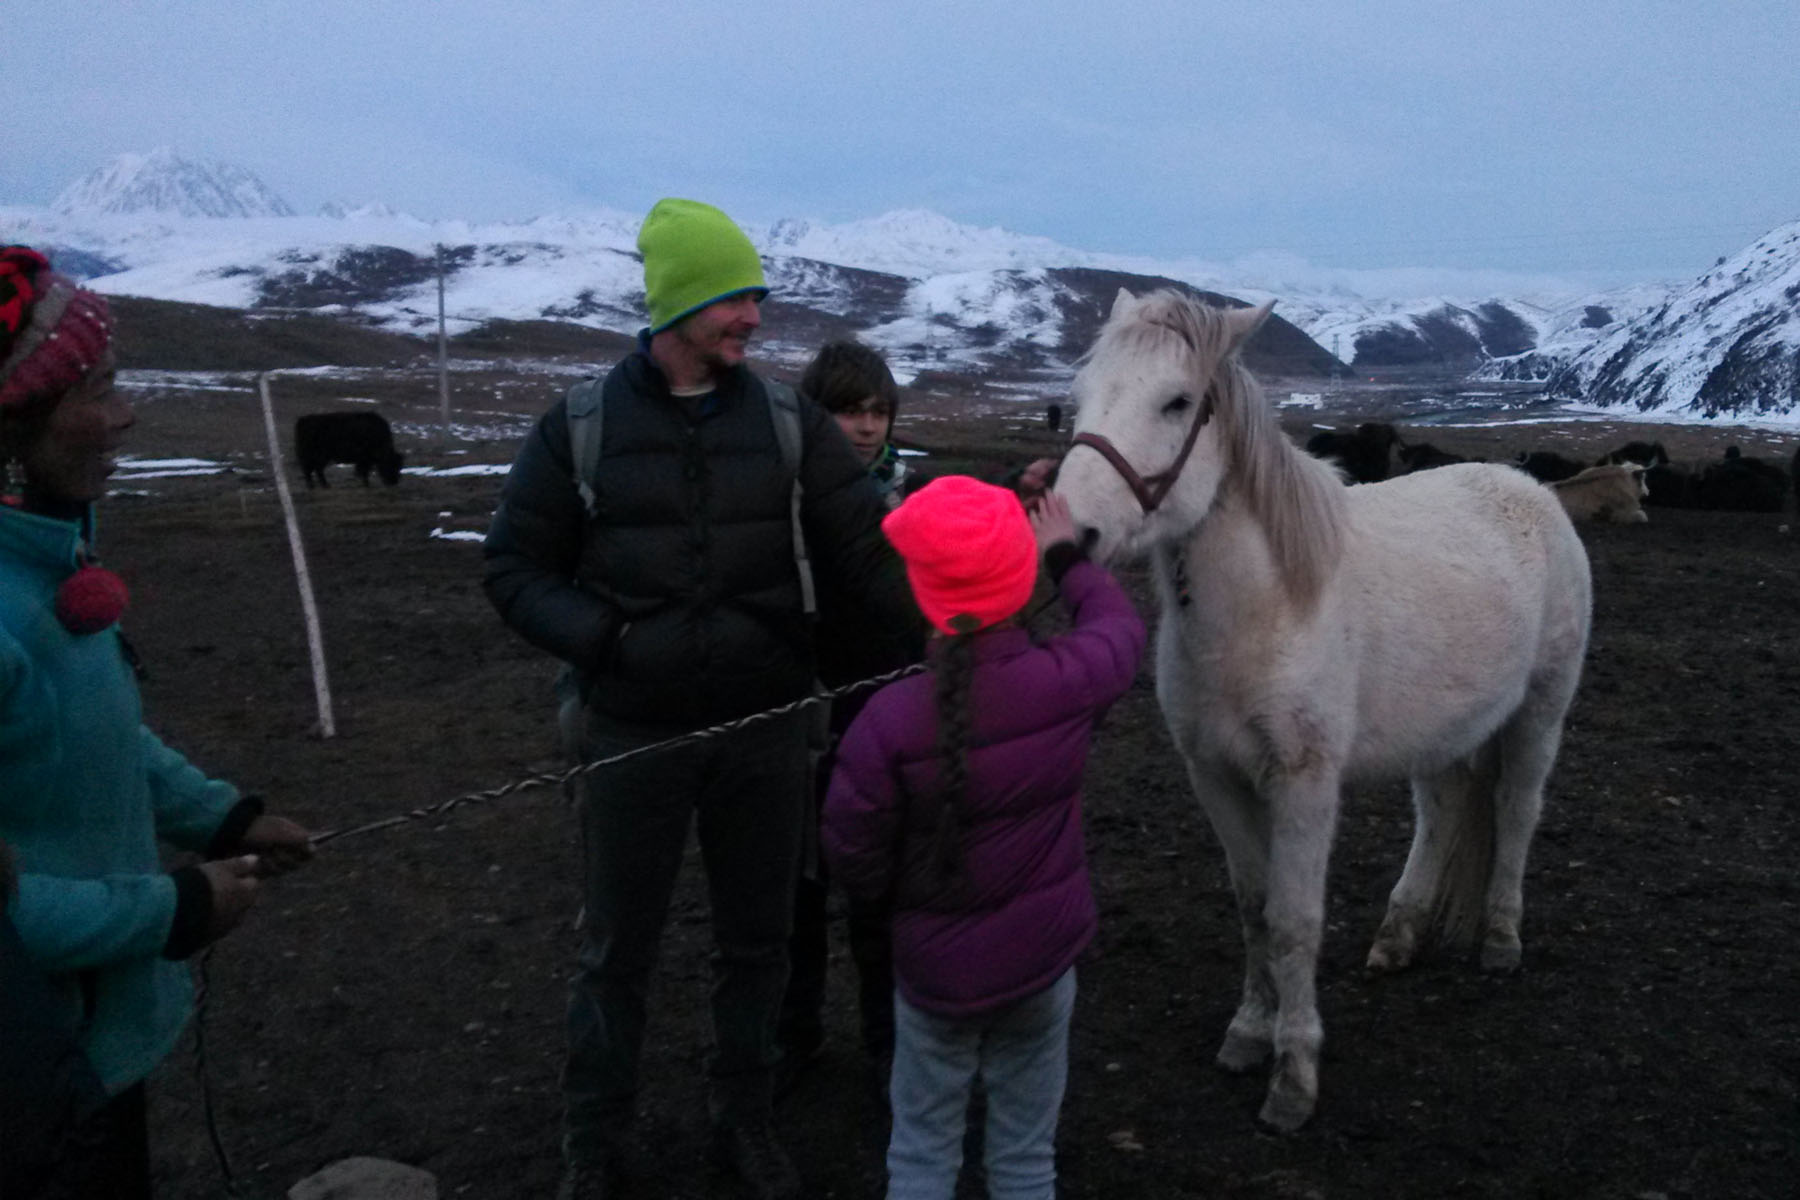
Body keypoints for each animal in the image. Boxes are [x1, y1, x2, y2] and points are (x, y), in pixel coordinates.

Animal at [1051, 291, 1591, 1137]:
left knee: (1515, 809)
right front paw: (1248, 1035)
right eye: (1078, 399)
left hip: (1540, 711)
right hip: (1443, 730)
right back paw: (1398, 936)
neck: (1267, 605)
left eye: (1177, 402)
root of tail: (1531, 491)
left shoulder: (1302, 784)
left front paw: (1293, 1078)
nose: (1065, 538)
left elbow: (1295, 918)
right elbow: (1254, 907)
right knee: (1444, 812)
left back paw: (1502, 938)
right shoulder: (1215, 778)